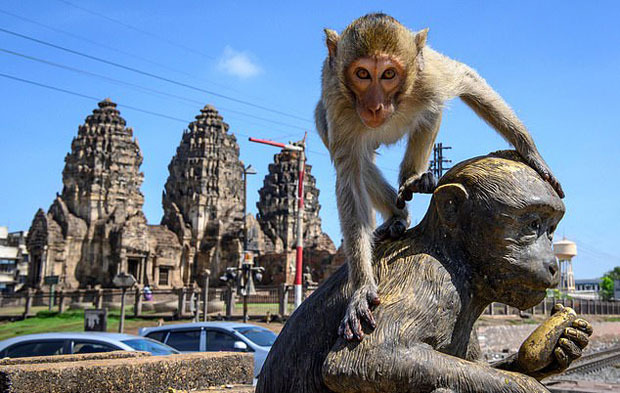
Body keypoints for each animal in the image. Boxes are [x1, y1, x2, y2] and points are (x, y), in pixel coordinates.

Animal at [258, 151, 592, 392]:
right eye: (532, 225)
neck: (455, 258)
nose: (552, 264)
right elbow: (358, 361)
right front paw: (528, 385)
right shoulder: (429, 278)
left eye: (550, 230)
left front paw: (562, 344)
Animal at [318, 13, 564, 342]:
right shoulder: (338, 103)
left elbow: (467, 79)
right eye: (362, 74)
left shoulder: (429, 77)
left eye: (388, 74)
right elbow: (349, 176)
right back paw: (398, 214)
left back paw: (413, 178)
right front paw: (361, 290)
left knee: (431, 110)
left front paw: (532, 153)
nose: (374, 106)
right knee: (356, 158)